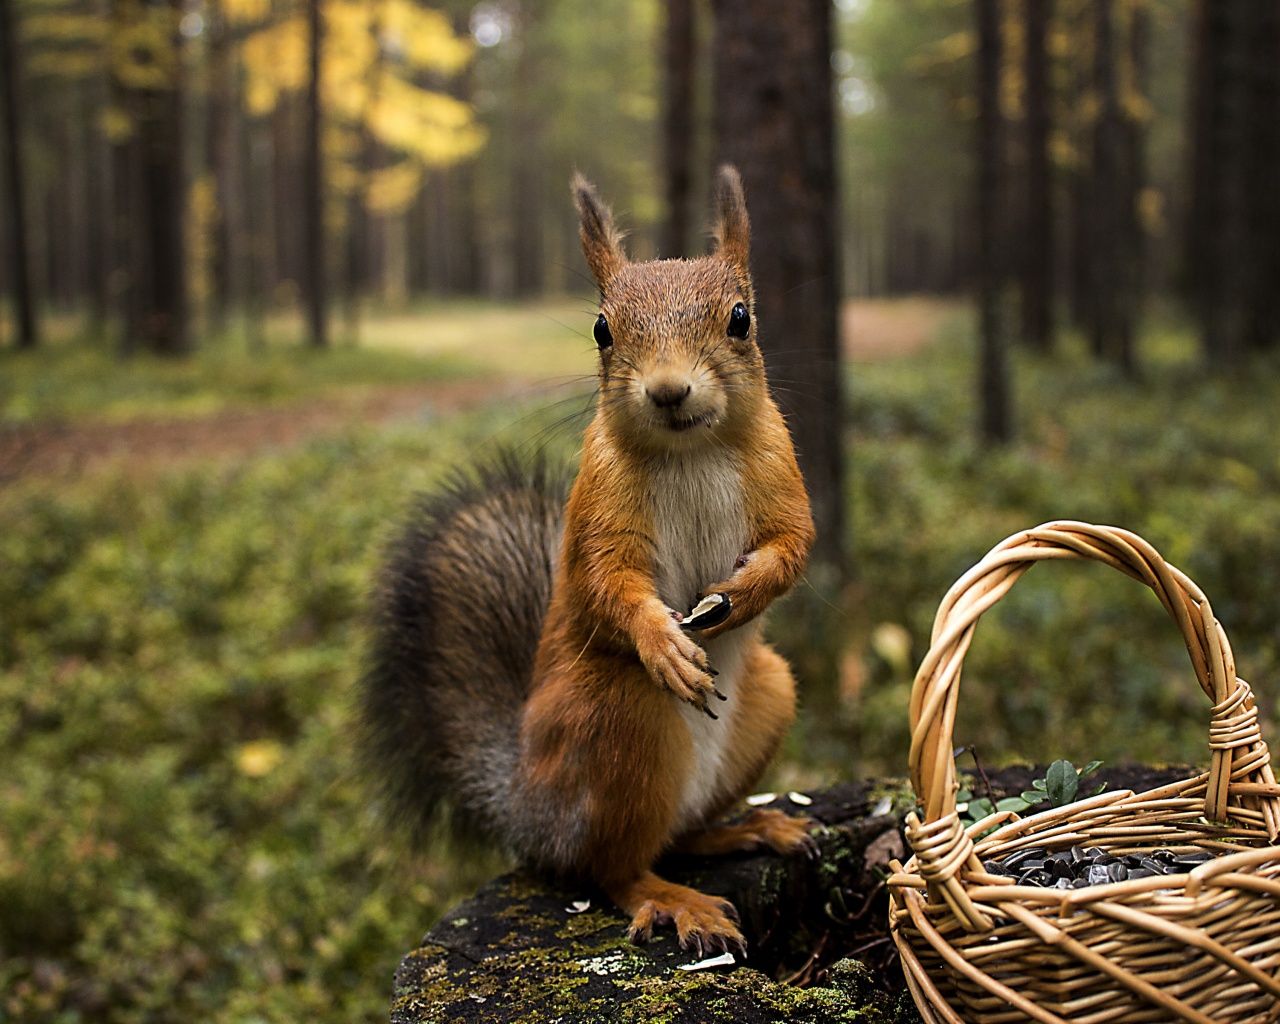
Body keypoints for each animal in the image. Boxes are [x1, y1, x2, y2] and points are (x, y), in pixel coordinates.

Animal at [358, 163, 819, 957]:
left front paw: (744, 594)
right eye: (603, 329)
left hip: (769, 696)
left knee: (678, 836)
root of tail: (527, 809)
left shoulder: (780, 472)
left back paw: (749, 828)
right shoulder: (599, 506)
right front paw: (663, 641)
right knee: (612, 867)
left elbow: (793, 545)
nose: (668, 390)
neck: (691, 449)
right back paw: (673, 899)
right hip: (616, 720)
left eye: (741, 318)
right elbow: (608, 582)